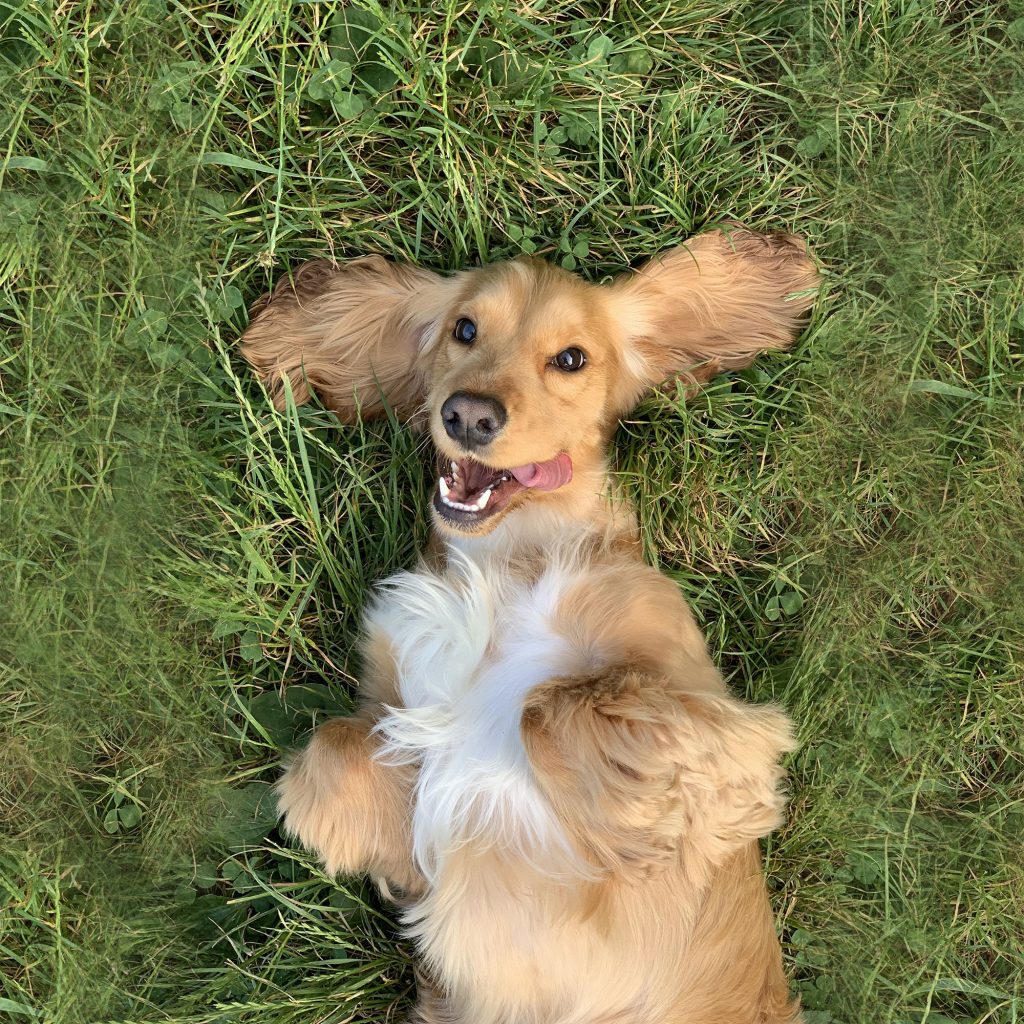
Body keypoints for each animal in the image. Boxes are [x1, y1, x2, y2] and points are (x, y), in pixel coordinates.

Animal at [237, 226, 815, 1024]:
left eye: (570, 359)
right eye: (464, 330)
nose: (468, 415)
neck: (507, 559)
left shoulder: (726, 729)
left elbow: (548, 705)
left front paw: (629, 824)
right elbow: (332, 749)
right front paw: (382, 842)